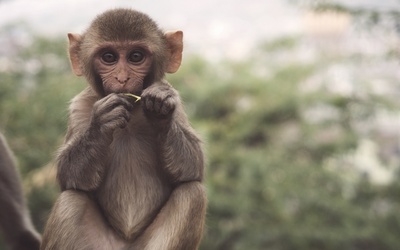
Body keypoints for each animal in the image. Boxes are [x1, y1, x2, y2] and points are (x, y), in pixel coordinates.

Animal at [41, 8, 206, 250]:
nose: (122, 78)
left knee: (192, 193)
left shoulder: (177, 103)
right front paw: (101, 123)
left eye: (136, 56)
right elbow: (68, 176)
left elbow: (193, 166)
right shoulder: (80, 107)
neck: (133, 113)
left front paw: (160, 111)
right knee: (71, 200)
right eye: (109, 57)